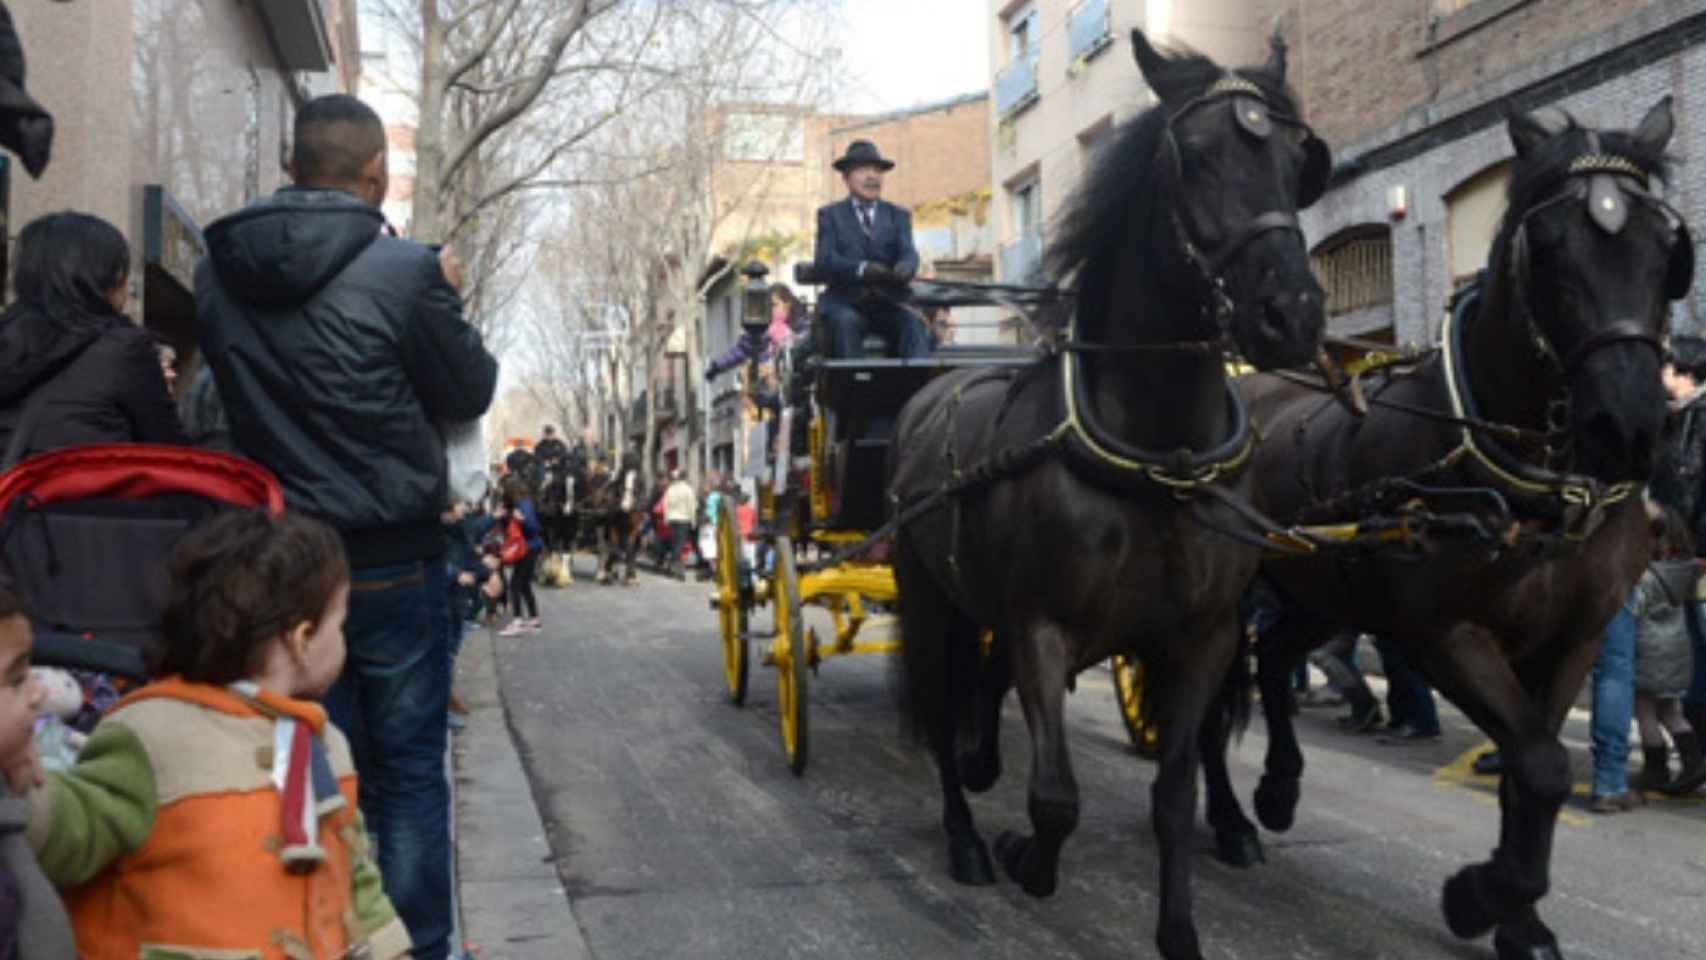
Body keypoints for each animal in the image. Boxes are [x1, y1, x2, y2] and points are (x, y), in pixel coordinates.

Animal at [887, 31, 1337, 960]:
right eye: (1195, 156)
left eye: (1296, 161)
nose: (1292, 316)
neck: (1158, 456)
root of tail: (931, 389)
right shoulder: (1042, 627)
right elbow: (1055, 798)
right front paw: (1022, 853)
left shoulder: (1203, 637)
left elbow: (1174, 793)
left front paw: (1179, 928)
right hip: (927, 595)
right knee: (943, 710)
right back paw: (965, 835)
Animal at [1207, 99, 1685, 960]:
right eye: (1548, 244)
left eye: (1669, 249)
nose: (1628, 429)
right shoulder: (1445, 632)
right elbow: (1539, 766)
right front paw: (1478, 897)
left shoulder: (1573, 637)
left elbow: (1531, 774)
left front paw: (1519, 920)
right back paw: (1231, 823)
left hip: (1324, 588)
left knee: (1278, 659)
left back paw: (1280, 787)